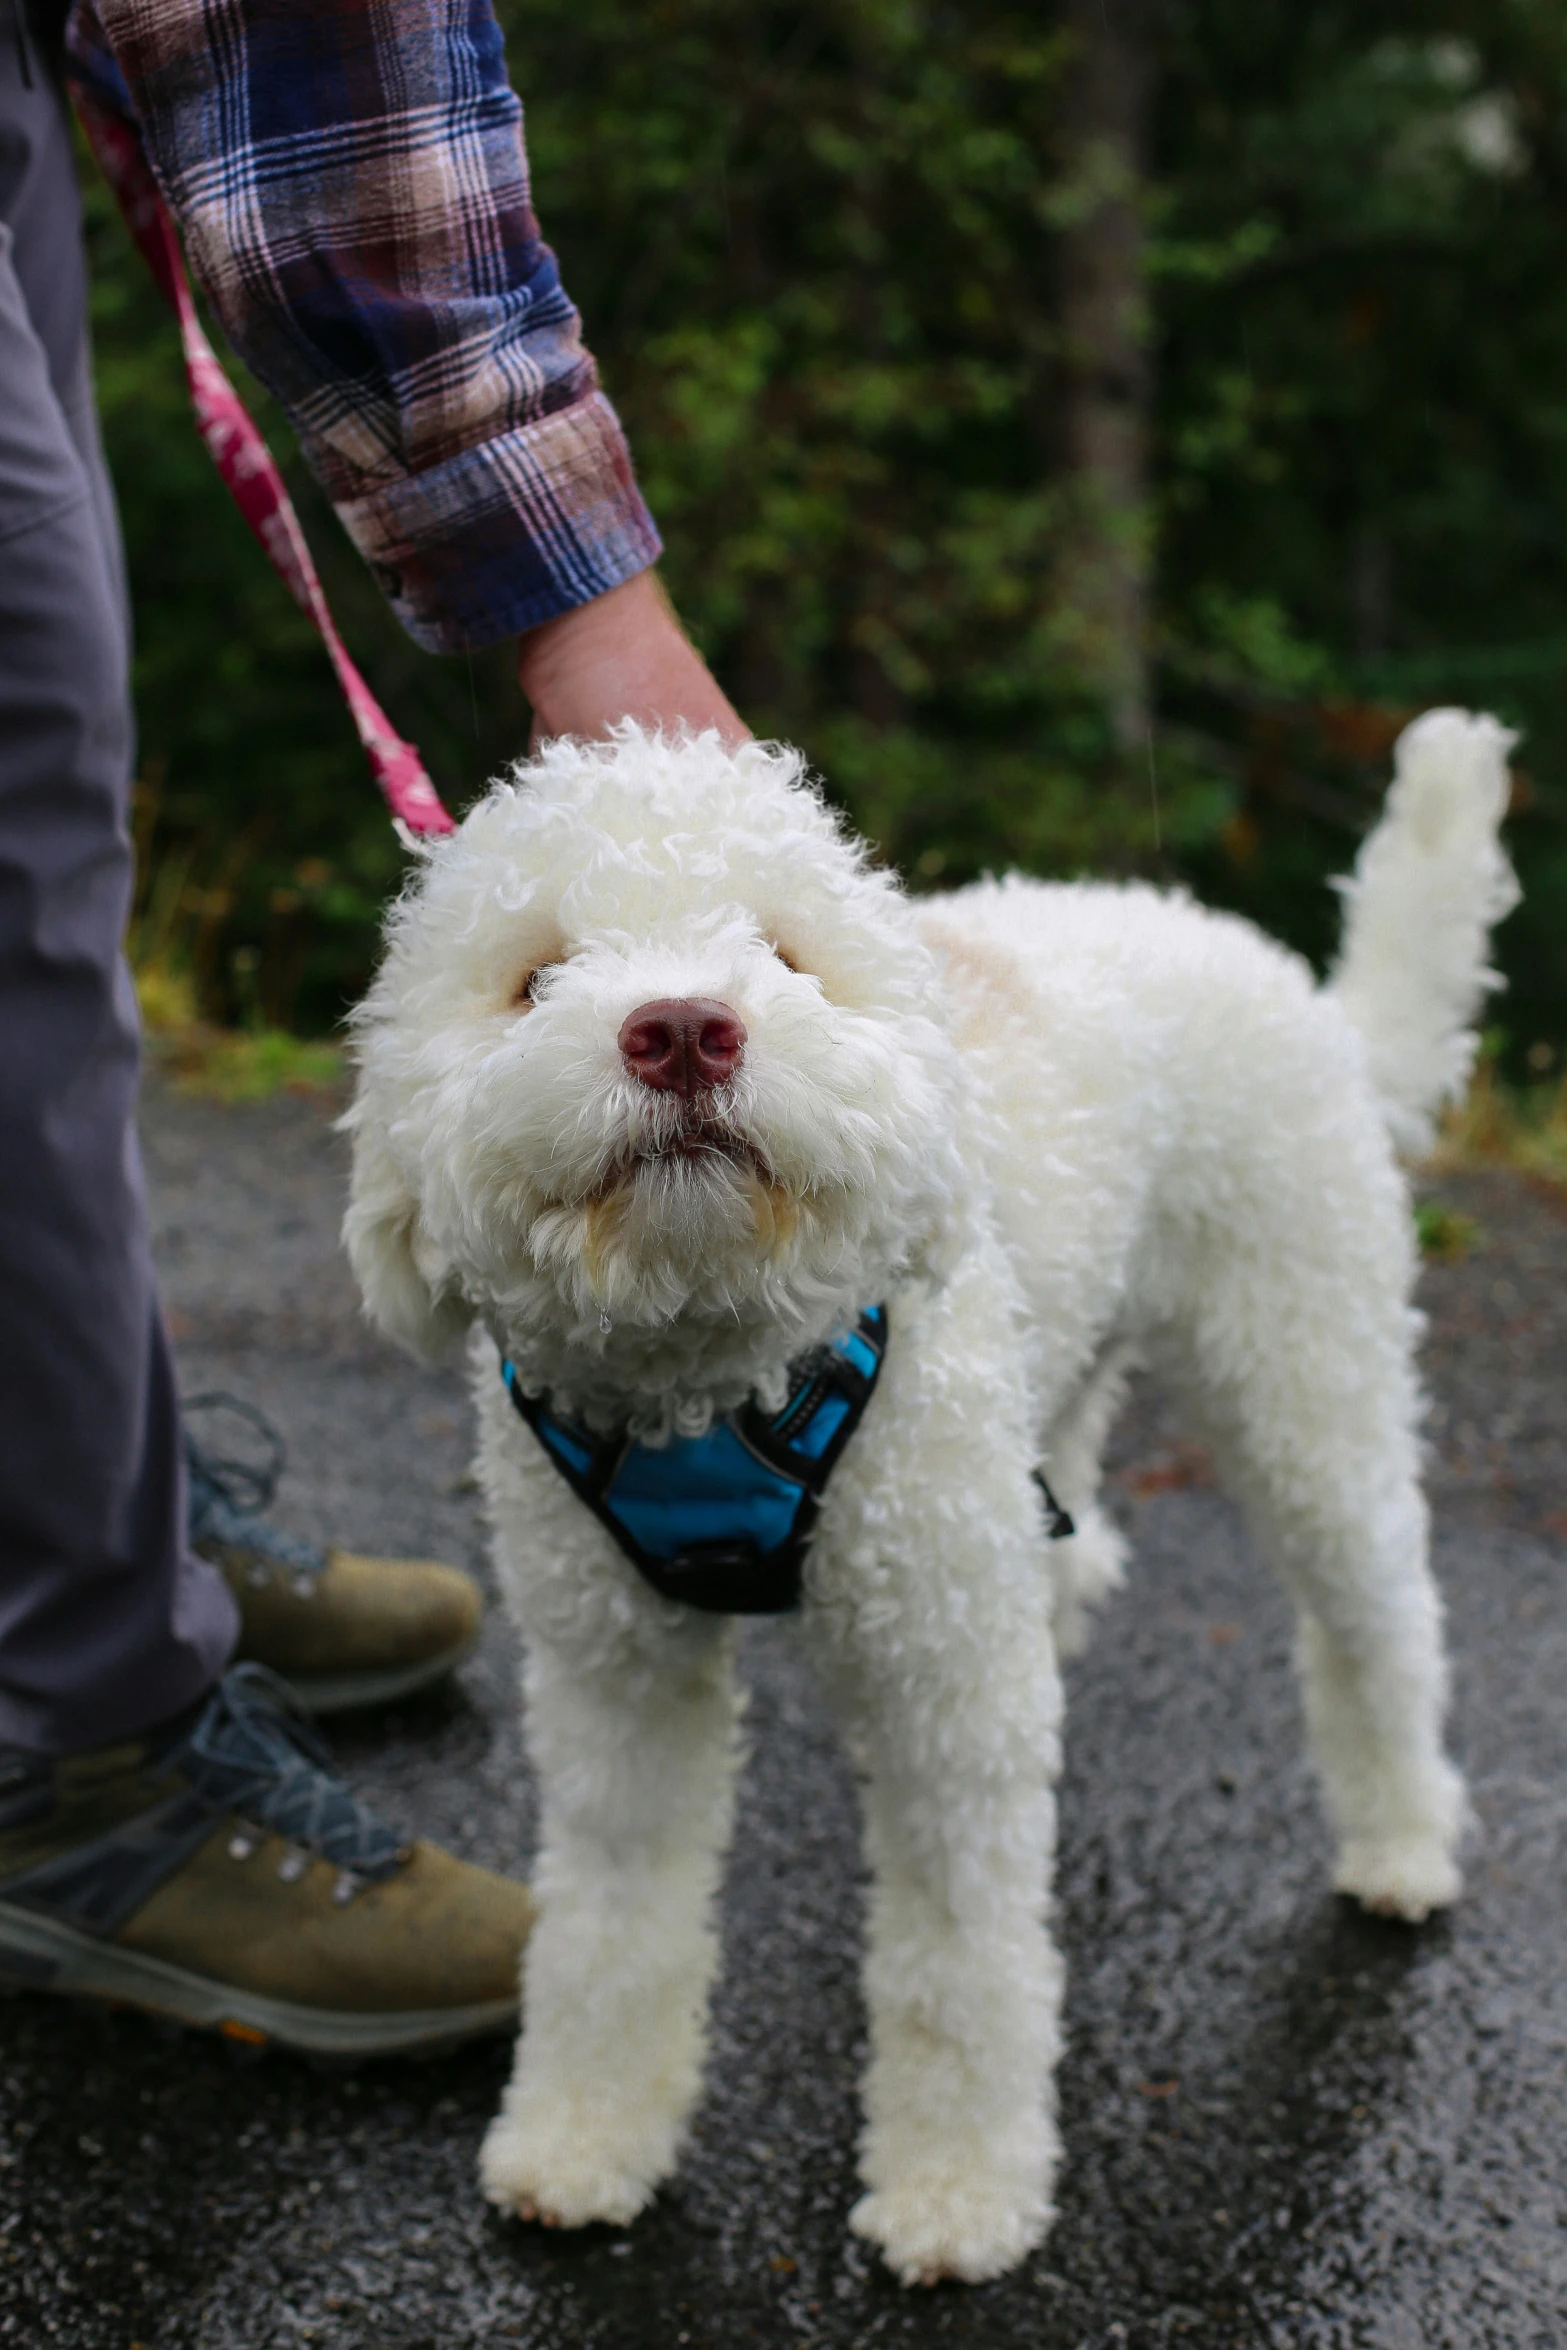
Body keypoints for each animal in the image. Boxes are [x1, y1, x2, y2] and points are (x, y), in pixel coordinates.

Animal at [343, 709, 1522, 2274]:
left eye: (783, 954)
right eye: (533, 974)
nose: (681, 1031)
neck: (709, 1375)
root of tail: (1295, 988)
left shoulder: (938, 1681)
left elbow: (960, 1960)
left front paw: (958, 2190)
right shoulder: (611, 1683)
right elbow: (610, 1918)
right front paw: (585, 2138)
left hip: (1299, 1366)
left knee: (1378, 1610)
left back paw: (1401, 1840)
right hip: (1047, 1393)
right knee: (1078, 1544)